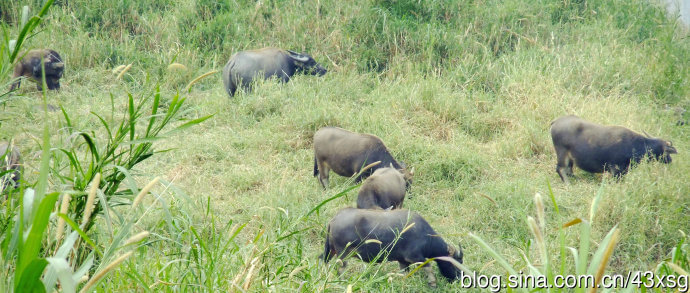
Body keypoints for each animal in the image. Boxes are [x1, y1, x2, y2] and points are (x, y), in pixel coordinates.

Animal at [322, 206, 462, 286]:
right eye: (455, 264)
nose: (459, 278)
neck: (426, 237)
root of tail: (334, 219)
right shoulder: (415, 257)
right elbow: (428, 267)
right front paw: (433, 284)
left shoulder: (403, 261)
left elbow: (404, 274)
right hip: (343, 254)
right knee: (340, 269)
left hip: (331, 251)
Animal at [548, 114, 676, 181]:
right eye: (666, 152)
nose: (670, 160)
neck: (635, 145)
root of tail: (556, 121)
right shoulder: (616, 170)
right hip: (562, 153)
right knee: (560, 169)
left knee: (569, 169)